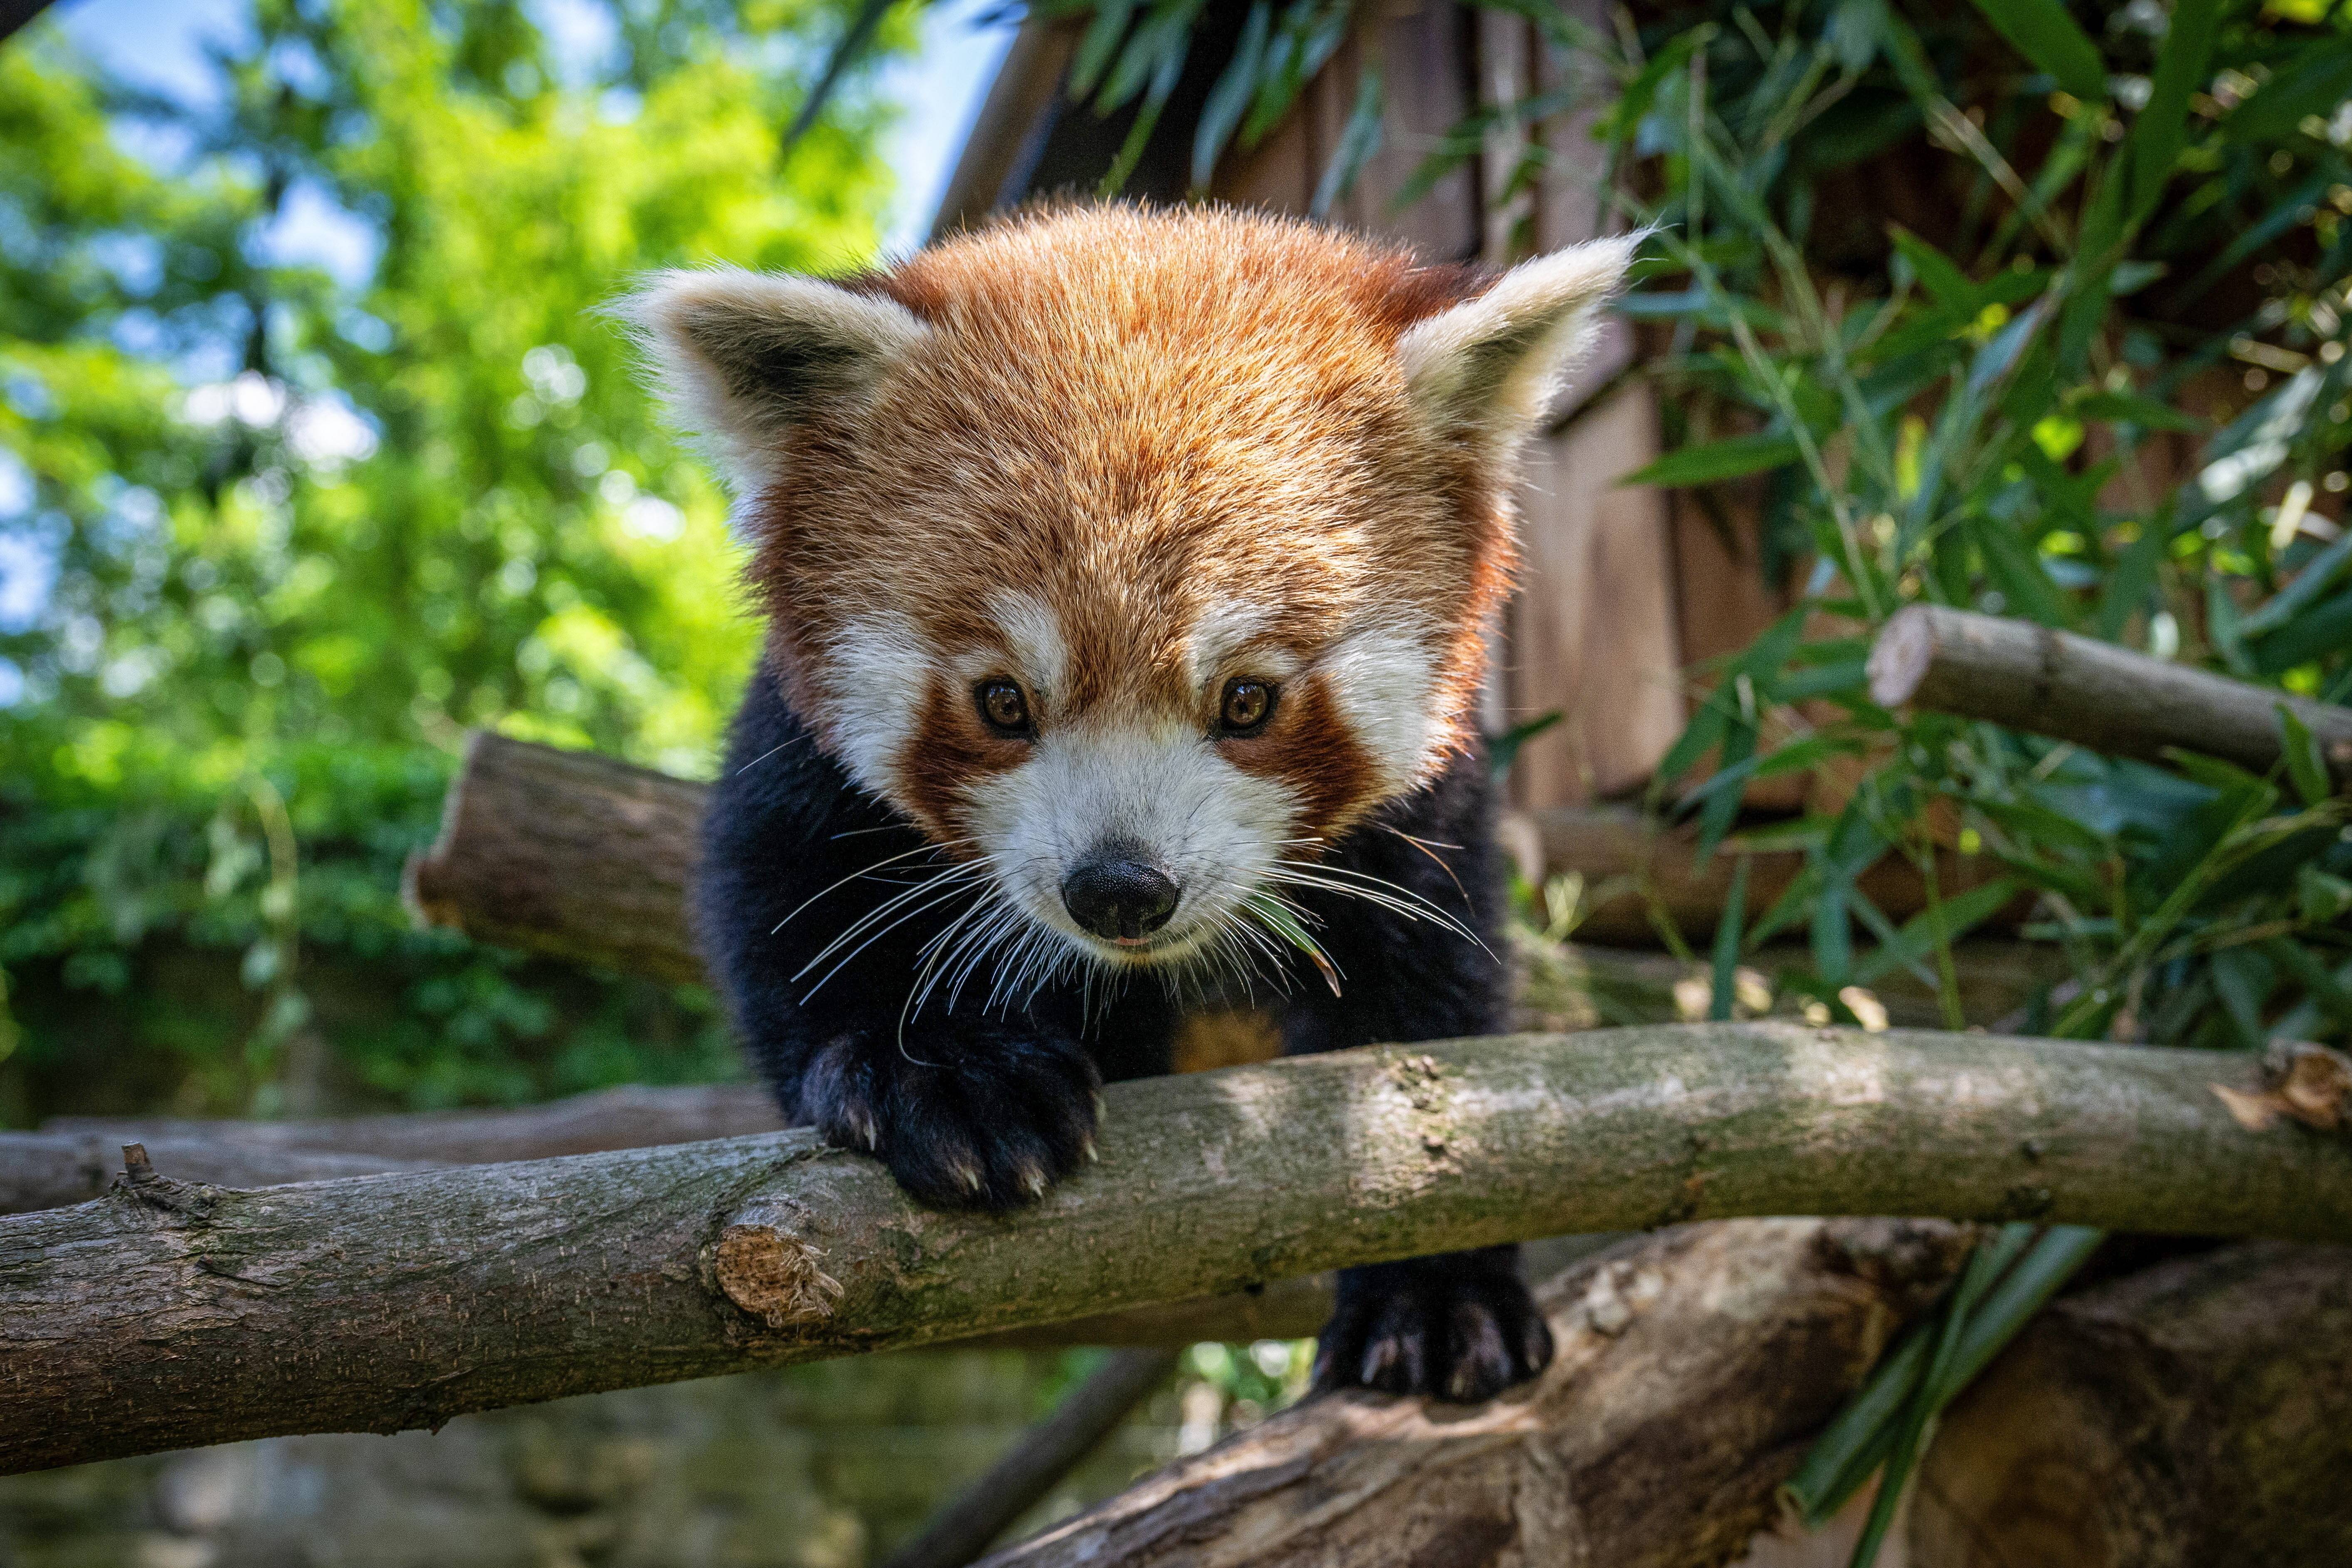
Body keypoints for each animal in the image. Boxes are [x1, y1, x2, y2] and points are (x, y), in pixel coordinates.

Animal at [635, 206, 1646, 1401]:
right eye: (1002, 701)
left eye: (1248, 699)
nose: (1119, 887)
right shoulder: (799, 760)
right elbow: (788, 895)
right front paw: (948, 1069)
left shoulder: (1428, 809)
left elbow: (1429, 1004)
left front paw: (1437, 1288)